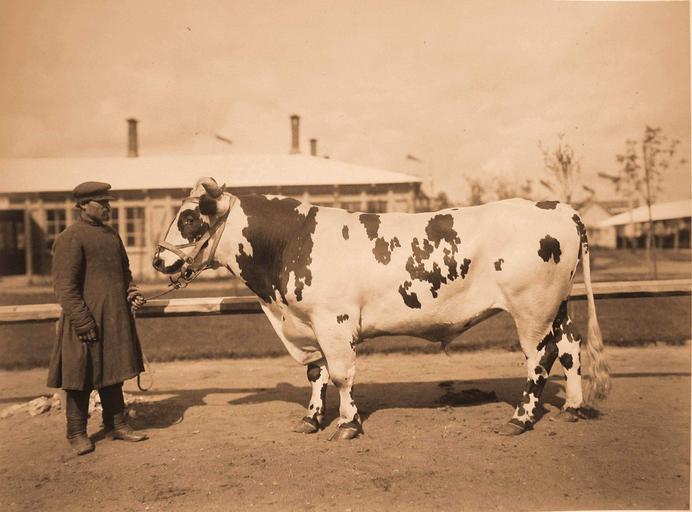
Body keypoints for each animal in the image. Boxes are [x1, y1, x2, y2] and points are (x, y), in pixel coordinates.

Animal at [153, 177, 610, 440]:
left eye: (189, 217)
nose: (158, 260)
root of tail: (557, 207)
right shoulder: (308, 323)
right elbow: (316, 373)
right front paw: (312, 419)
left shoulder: (333, 322)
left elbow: (341, 374)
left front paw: (347, 424)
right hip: (557, 306)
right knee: (570, 348)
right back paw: (572, 407)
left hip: (532, 307)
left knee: (539, 357)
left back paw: (521, 418)